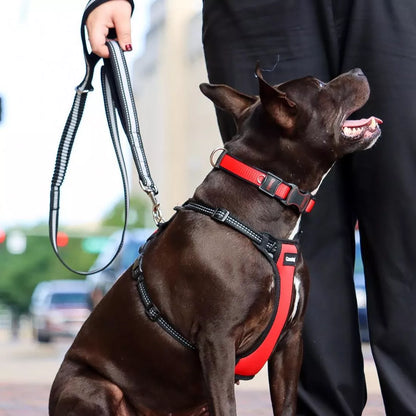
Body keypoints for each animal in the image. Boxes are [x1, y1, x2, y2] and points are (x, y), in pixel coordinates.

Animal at [48, 66, 380, 414]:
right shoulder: (218, 340)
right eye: (320, 85)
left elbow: (286, 404)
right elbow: (227, 406)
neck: (265, 191)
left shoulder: (290, 342)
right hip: (93, 387)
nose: (358, 70)